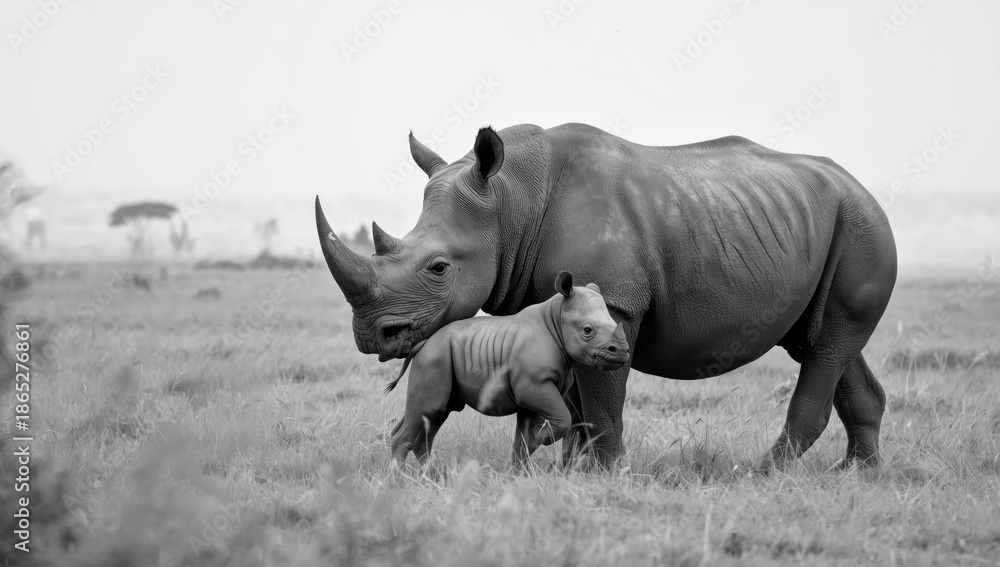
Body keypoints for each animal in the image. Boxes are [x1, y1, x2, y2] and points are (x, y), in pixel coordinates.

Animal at [384, 271, 629, 466]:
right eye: (587, 330)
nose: (622, 351)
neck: (556, 320)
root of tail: (423, 343)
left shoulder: (532, 392)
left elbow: (521, 441)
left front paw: (519, 473)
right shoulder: (533, 385)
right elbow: (563, 418)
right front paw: (539, 439)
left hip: (439, 357)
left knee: (435, 414)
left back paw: (435, 479)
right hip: (435, 357)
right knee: (428, 409)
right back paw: (398, 480)